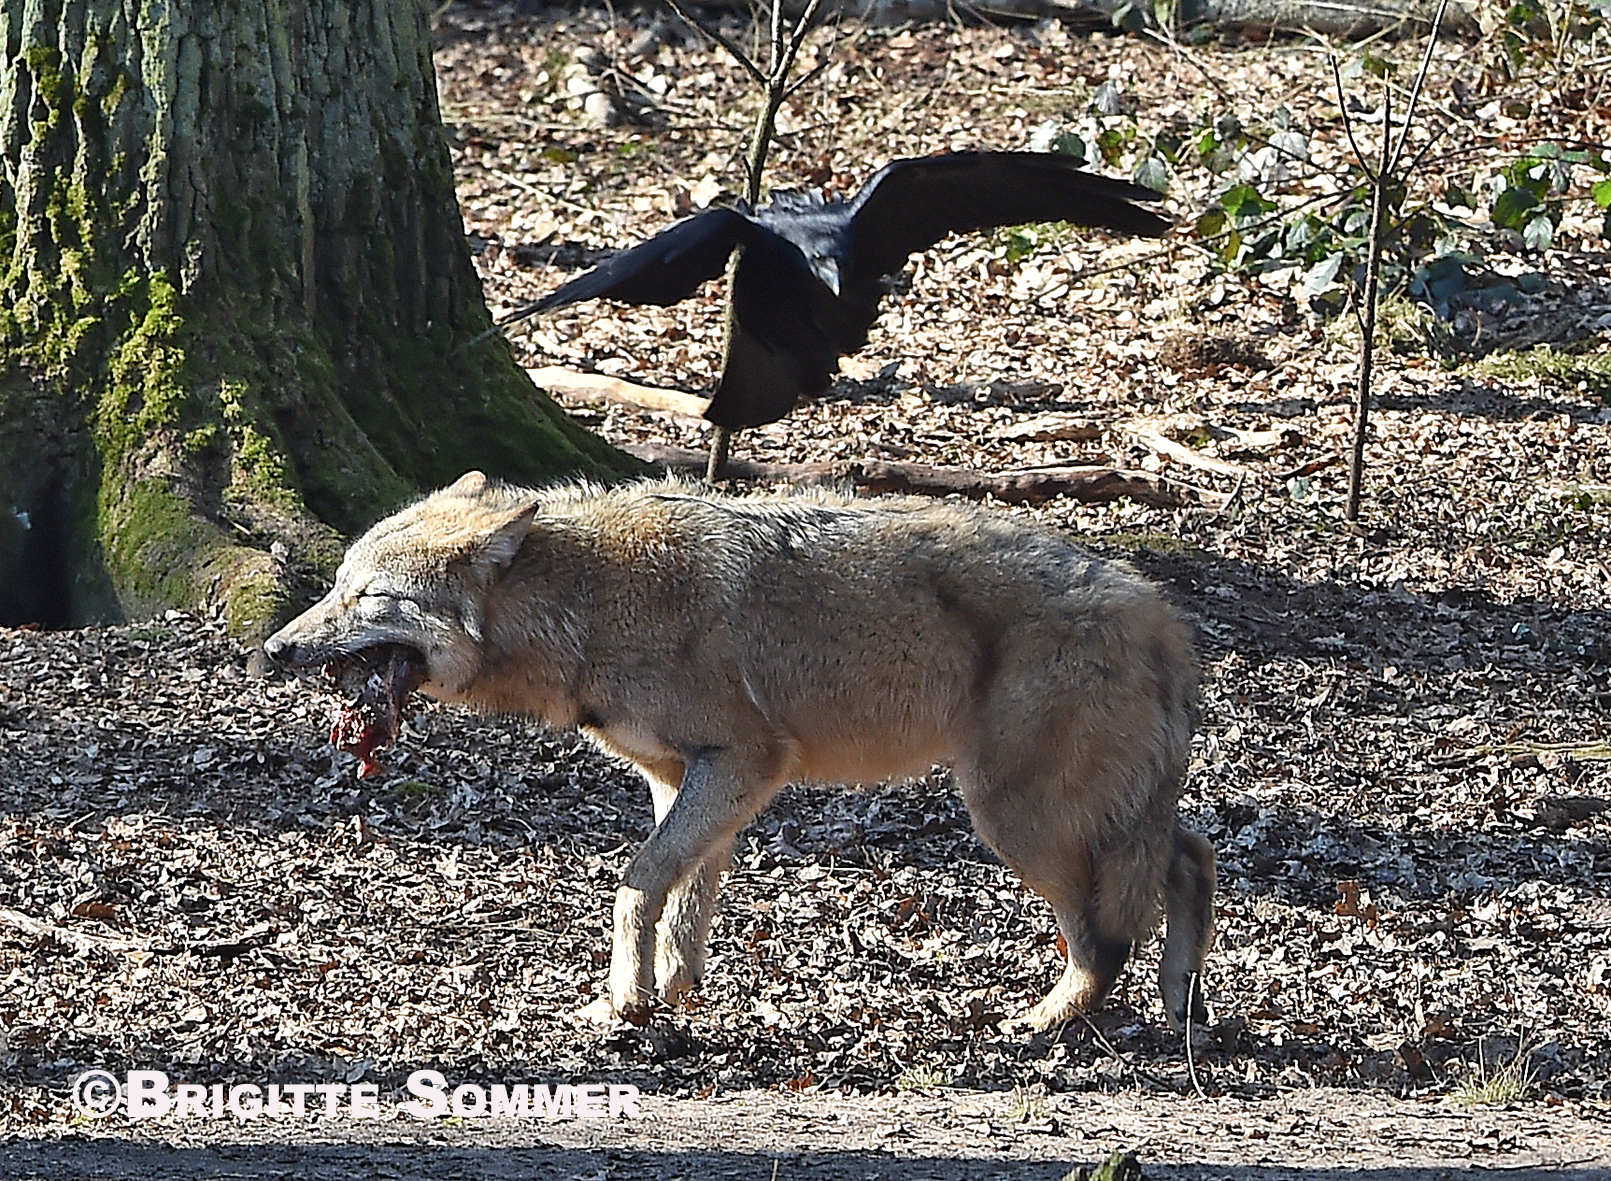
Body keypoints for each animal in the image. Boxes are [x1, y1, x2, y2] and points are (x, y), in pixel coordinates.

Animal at [263, 472, 1216, 1031]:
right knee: (1191, 855)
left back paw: (1052, 1020)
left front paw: (628, 1000)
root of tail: (1160, 613)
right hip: (1081, 813)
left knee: (1105, 934)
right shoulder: (682, 777)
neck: (585, 605)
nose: (273, 648)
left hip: (1013, 818)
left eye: (365, 597)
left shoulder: (743, 763)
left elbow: (636, 882)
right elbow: (688, 893)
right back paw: (1181, 1004)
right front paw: (674, 989)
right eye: (335, 587)